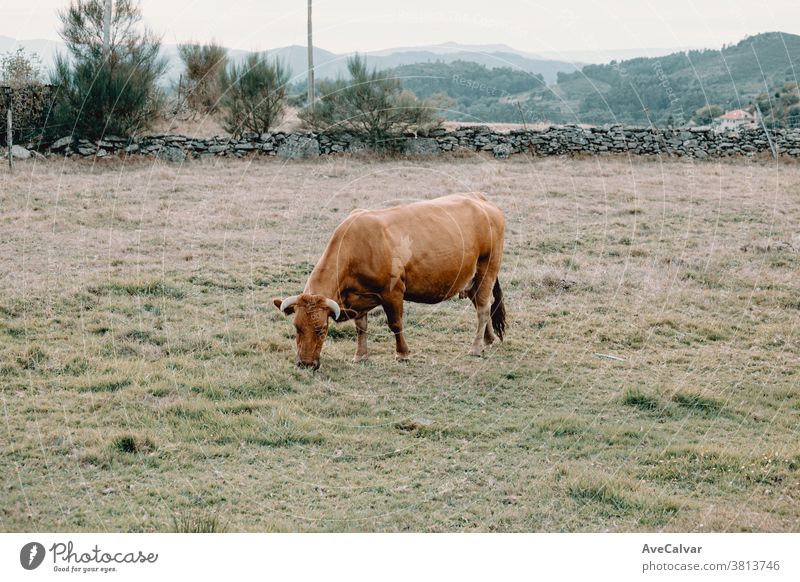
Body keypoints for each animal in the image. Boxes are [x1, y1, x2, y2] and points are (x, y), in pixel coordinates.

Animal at [272, 195, 504, 370]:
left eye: (321, 329)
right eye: (297, 327)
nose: (305, 363)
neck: (356, 247)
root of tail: (480, 200)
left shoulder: (393, 292)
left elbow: (395, 324)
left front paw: (402, 353)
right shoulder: (358, 298)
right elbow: (361, 327)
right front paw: (360, 355)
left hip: (487, 270)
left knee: (483, 308)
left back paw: (476, 348)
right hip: (471, 281)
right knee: (485, 306)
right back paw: (488, 339)